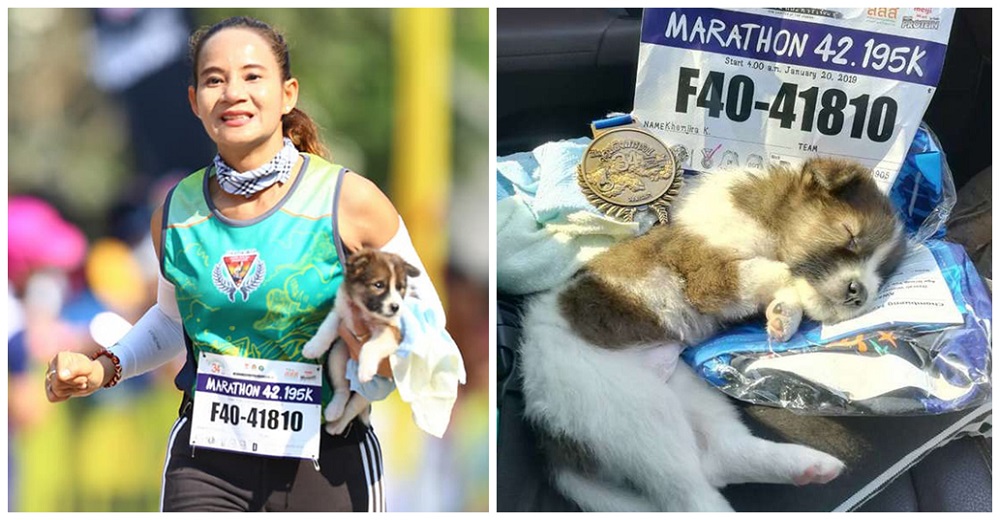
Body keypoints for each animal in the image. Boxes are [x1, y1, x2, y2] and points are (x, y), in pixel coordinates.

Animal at [300, 248, 418, 434]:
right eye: (379, 285)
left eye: (400, 288)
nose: (395, 307)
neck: (365, 313)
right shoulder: (340, 312)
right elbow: (326, 328)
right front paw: (313, 347)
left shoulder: (390, 333)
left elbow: (370, 346)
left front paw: (365, 369)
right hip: (337, 354)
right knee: (343, 390)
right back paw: (334, 410)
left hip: (371, 391)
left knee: (352, 408)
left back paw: (337, 425)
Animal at [520, 156, 912, 510]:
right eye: (851, 235)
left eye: (884, 272)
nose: (861, 293)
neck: (765, 218)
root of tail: (549, 437)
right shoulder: (711, 275)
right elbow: (780, 271)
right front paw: (792, 305)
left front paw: (783, 316)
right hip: (626, 408)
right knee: (687, 496)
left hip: (686, 388)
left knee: (720, 457)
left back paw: (806, 466)